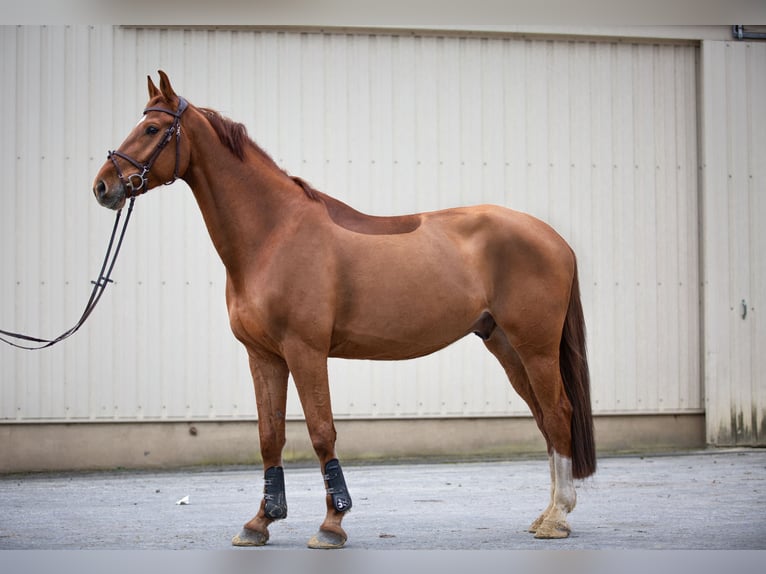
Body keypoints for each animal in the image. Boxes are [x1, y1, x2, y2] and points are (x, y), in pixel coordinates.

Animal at [93, 72, 596, 548]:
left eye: (152, 128)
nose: (103, 186)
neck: (273, 235)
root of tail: (556, 240)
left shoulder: (306, 351)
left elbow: (321, 432)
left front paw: (332, 525)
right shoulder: (263, 356)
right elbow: (269, 436)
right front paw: (260, 522)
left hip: (535, 347)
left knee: (557, 413)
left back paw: (557, 518)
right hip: (505, 345)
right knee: (543, 417)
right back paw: (546, 514)